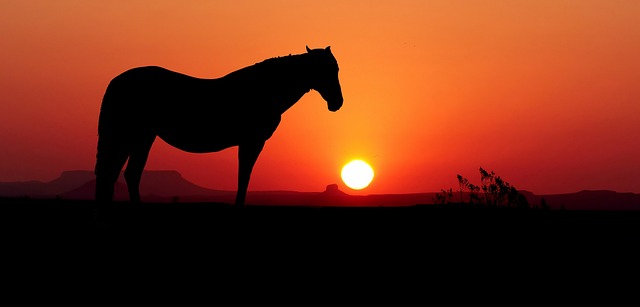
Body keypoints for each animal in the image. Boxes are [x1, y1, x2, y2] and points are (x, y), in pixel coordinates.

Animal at [94, 45, 342, 208]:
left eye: (336, 69)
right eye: (326, 70)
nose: (337, 103)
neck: (264, 90)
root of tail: (117, 80)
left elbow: (244, 177)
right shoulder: (252, 142)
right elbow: (244, 177)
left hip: (142, 136)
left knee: (126, 173)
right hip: (131, 135)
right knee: (117, 172)